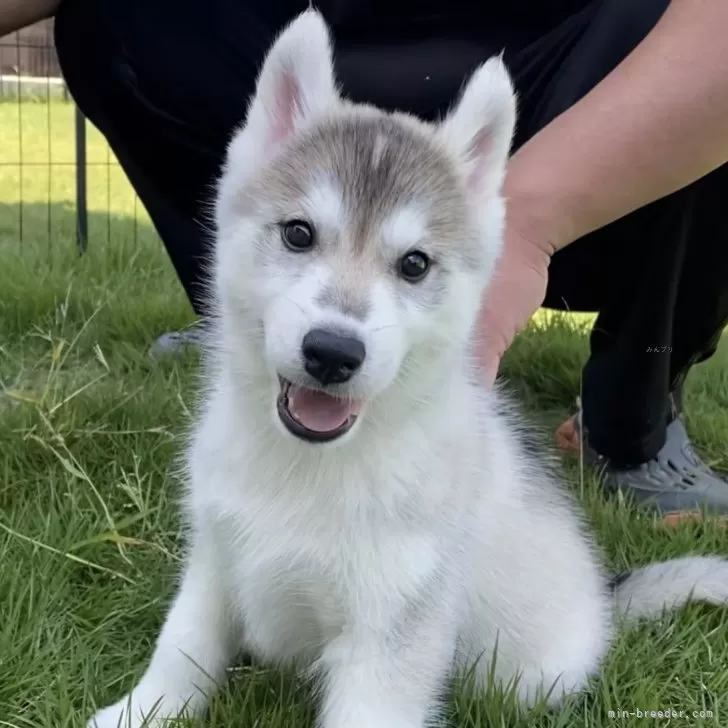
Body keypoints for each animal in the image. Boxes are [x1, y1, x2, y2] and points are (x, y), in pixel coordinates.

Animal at [89, 11, 728, 728]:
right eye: (299, 233)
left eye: (415, 264)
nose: (333, 352)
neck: (309, 468)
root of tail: (605, 605)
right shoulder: (215, 554)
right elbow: (184, 646)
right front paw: (140, 710)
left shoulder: (393, 628)